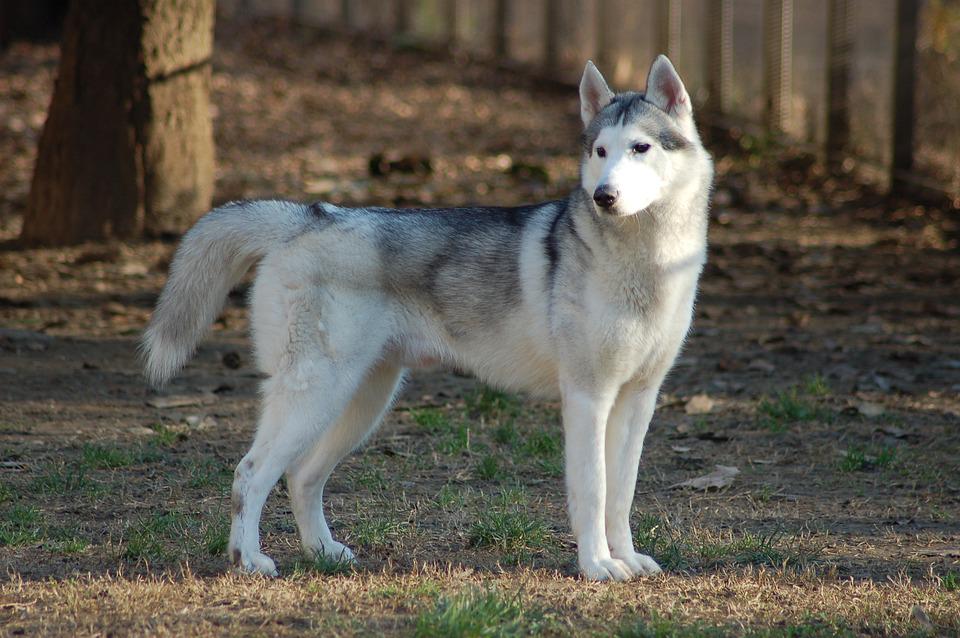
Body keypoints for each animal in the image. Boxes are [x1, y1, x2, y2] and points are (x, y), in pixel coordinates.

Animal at [142, 57, 712, 584]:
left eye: (641, 148)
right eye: (600, 152)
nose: (603, 196)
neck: (647, 263)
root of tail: (311, 215)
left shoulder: (637, 400)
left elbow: (621, 493)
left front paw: (626, 558)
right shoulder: (587, 396)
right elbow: (592, 492)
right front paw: (597, 565)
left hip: (362, 401)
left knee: (302, 476)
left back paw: (322, 552)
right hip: (316, 394)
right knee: (250, 473)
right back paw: (248, 560)